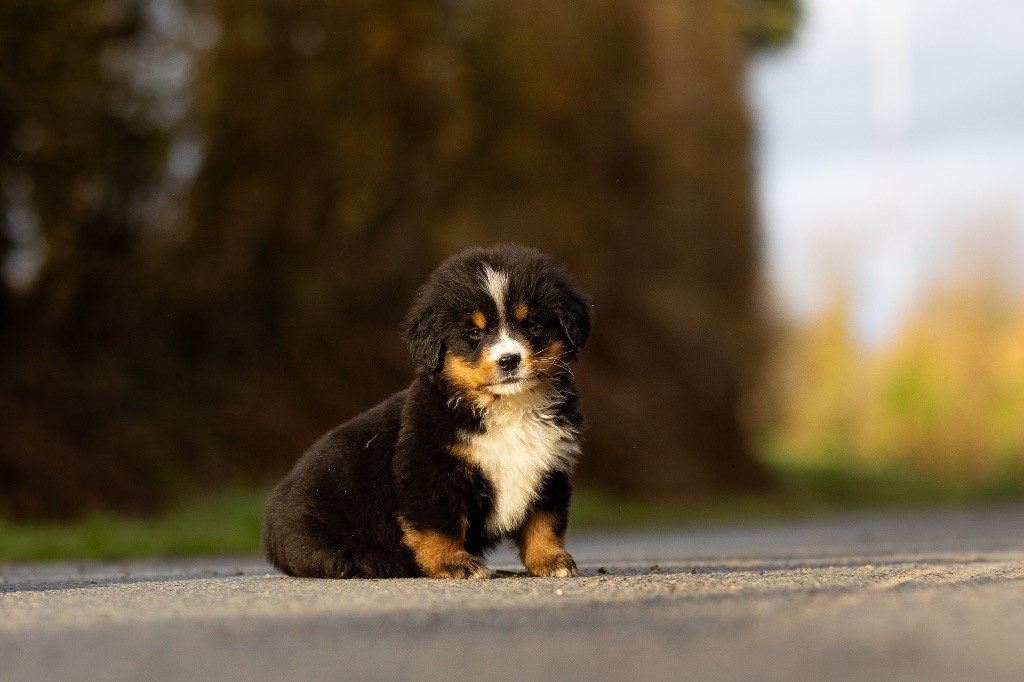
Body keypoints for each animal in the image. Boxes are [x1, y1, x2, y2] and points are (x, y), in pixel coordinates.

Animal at [262, 241, 593, 577]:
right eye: (474, 333)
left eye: (531, 324)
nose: (509, 360)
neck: (507, 406)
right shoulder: (431, 469)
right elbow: (439, 524)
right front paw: (453, 562)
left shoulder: (549, 465)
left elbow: (545, 523)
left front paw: (550, 560)